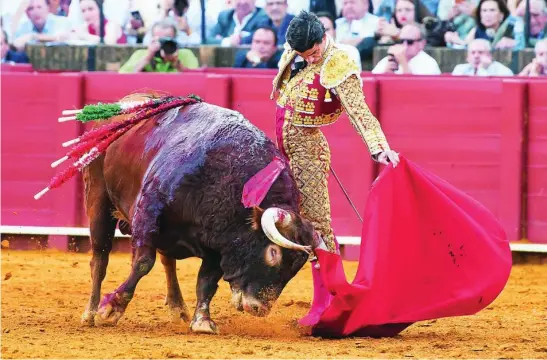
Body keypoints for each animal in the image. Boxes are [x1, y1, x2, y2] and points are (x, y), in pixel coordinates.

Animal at [81, 93, 322, 334]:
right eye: (273, 252)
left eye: (296, 267)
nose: (259, 309)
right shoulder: (147, 214)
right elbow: (142, 263)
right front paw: (111, 309)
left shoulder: (219, 243)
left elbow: (206, 281)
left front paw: (202, 321)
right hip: (98, 199)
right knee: (100, 258)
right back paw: (91, 312)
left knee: (168, 262)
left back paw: (178, 308)